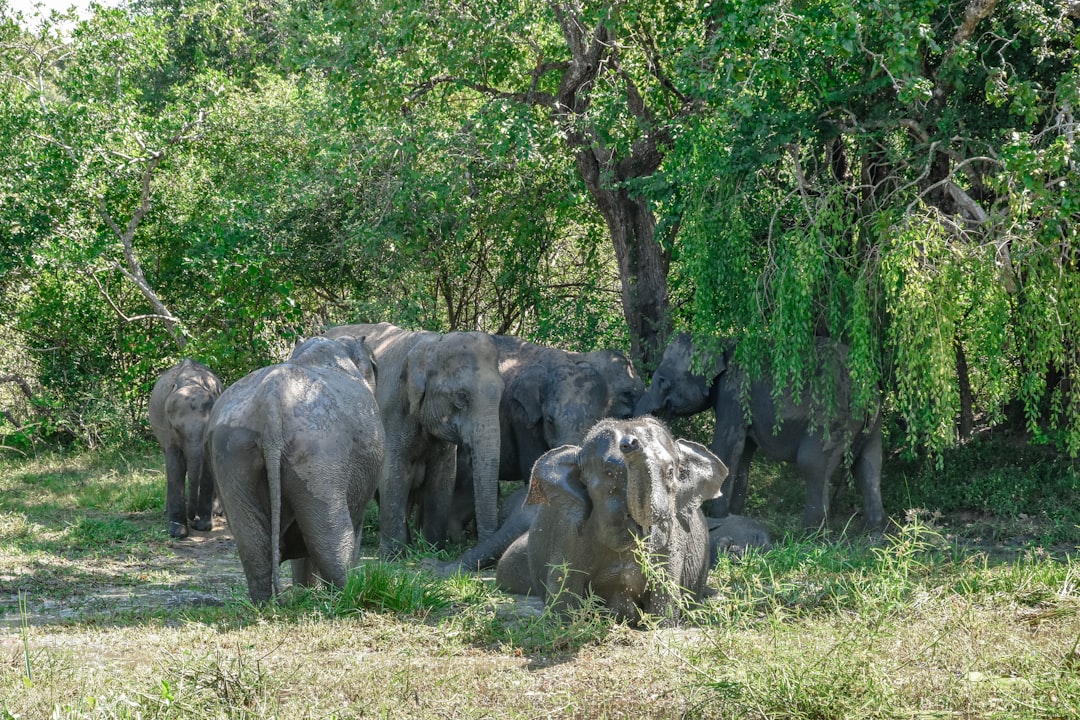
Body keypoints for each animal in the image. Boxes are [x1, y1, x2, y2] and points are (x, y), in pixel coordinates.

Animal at [148, 359, 223, 538]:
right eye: (176, 429)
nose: (193, 519)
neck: (191, 382)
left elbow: (206, 468)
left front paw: (202, 526)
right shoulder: (167, 431)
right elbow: (175, 465)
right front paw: (178, 532)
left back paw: (216, 512)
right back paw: (166, 512)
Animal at [206, 335, 385, 603]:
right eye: (375, 365)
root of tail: (269, 406)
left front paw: (305, 590)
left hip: (230, 454)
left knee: (252, 542)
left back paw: (264, 603)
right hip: (319, 455)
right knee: (329, 537)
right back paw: (347, 596)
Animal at [322, 323, 503, 557]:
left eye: (502, 392)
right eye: (461, 396)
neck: (430, 345)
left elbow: (443, 476)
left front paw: (434, 549)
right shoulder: (390, 412)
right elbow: (393, 474)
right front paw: (394, 556)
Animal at [494, 417, 727, 624]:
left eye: (670, 472)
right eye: (609, 474)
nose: (630, 442)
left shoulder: (673, 542)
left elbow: (664, 604)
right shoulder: (569, 534)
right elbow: (563, 601)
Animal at [634, 333, 884, 530]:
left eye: (662, 380)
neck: (722, 342)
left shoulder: (734, 393)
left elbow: (728, 446)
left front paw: (717, 517)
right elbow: (744, 451)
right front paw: (734, 514)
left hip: (832, 417)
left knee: (813, 463)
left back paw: (808, 532)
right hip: (870, 422)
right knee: (869, 465)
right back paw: (874, 532)